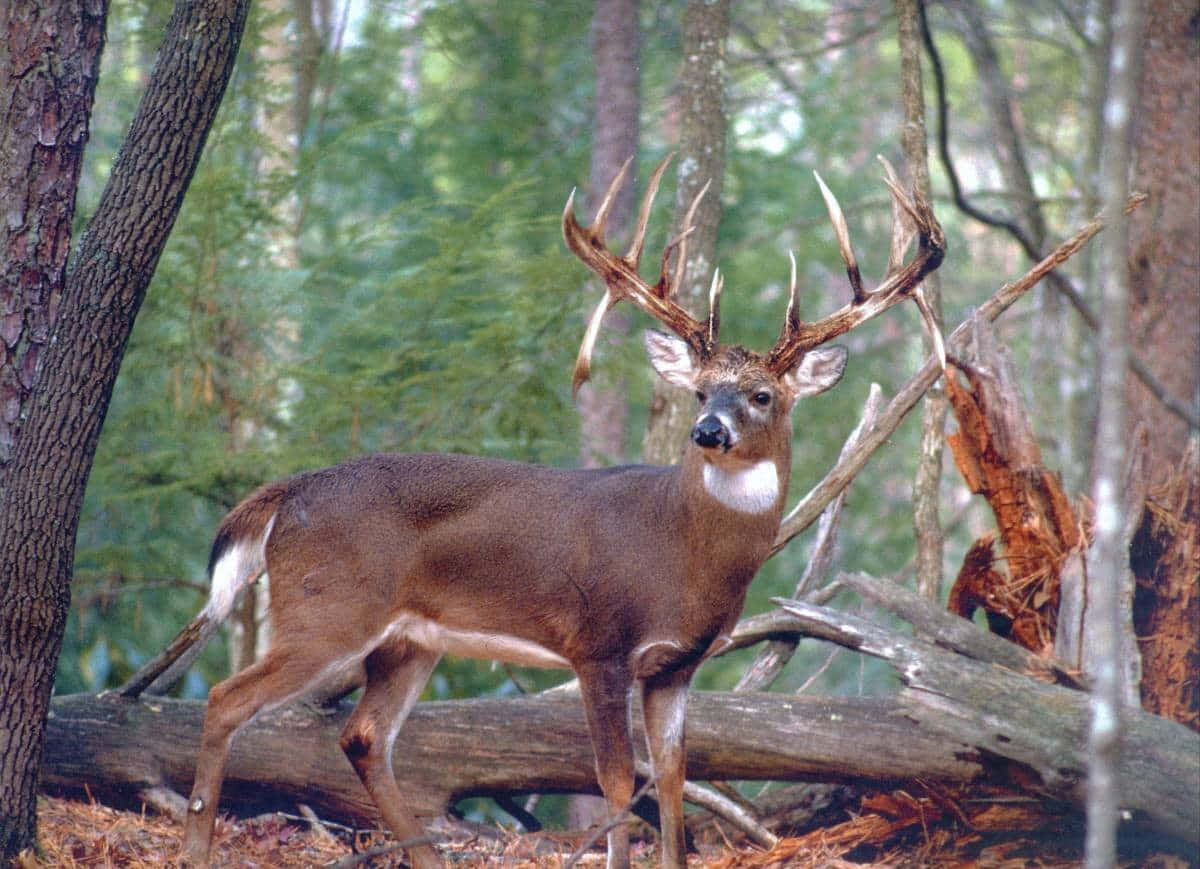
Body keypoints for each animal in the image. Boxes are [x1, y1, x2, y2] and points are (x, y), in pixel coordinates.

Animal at [180, 153, 944, 869]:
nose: (708, 432)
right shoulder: (598, 641)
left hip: (409, 639)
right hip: (328, 606)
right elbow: (615, 781)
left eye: (761, 395)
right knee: (226, 697)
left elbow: (672, 777)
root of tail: (288, 491)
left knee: (363, 736)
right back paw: (195, 843)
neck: (682, 552)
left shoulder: (677, 663)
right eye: (700, 392)